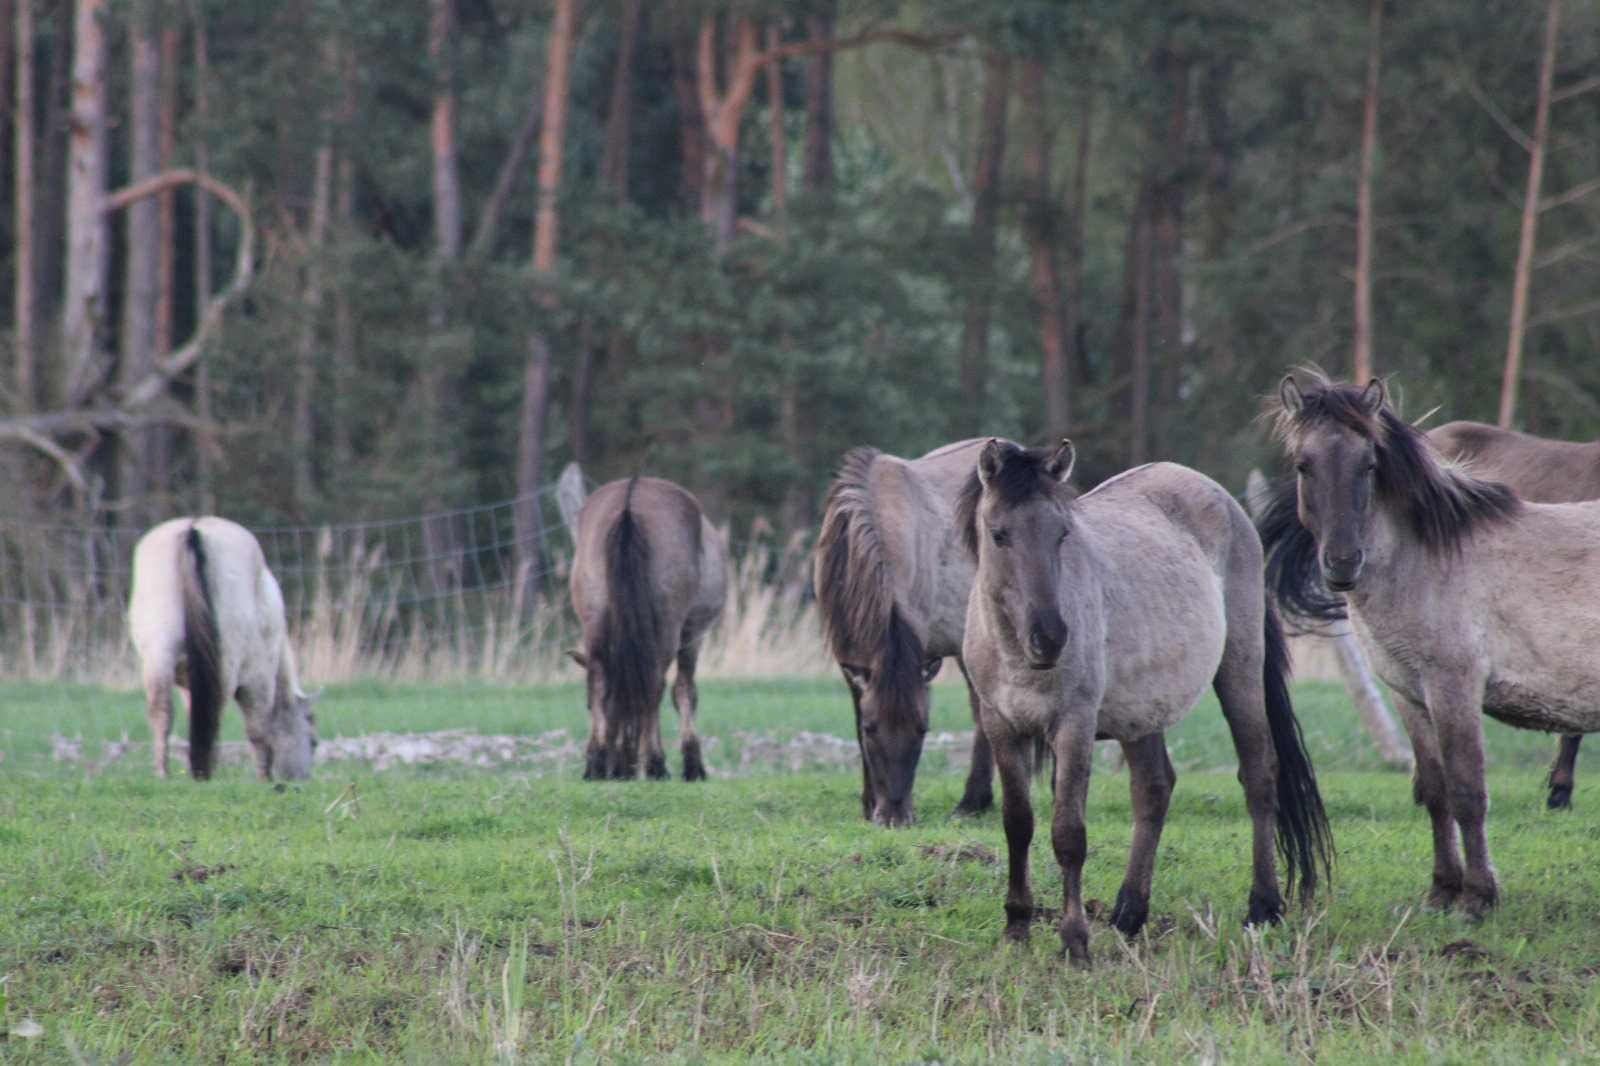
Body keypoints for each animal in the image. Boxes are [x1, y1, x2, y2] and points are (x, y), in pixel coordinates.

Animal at [129, 515, 316, 781]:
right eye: (313, 742)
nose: (304, 778)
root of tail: (193, 527)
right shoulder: (259, 677)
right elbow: (258, 727)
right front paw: (264, 776)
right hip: (226, 660)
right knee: (214, 710)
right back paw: (204, 770)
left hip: (159, 653)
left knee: (163, 711)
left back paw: (164, 772)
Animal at [569, 476, 726, 777]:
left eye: (585, 707)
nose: (617, 769)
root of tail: (630, 503)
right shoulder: (693, 637)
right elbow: (684, 692)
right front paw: (692, 763)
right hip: (668, 627)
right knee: (655, 684)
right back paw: (656, 762)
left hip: (594, 618)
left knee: (599, 681)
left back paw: (595, 763)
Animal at [819, 435, 1004, 825]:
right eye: (871, 728)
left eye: (923, 729)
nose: (895, 816)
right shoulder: (849, 658)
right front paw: (867, 802)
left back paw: (974, 800)